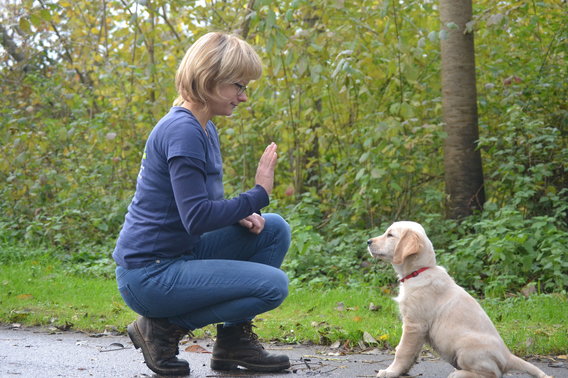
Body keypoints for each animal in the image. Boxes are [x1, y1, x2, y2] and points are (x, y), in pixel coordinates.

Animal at [366, 221, 552, 378]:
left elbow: (402, 350)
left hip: (465, 346)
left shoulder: (414, 324)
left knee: (492, 374)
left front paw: (390, 371)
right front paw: (403, 371)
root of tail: (508, 356)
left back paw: (460, 374)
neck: (420, 271)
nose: (368, 241)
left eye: (390, 235)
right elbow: (411, 353)